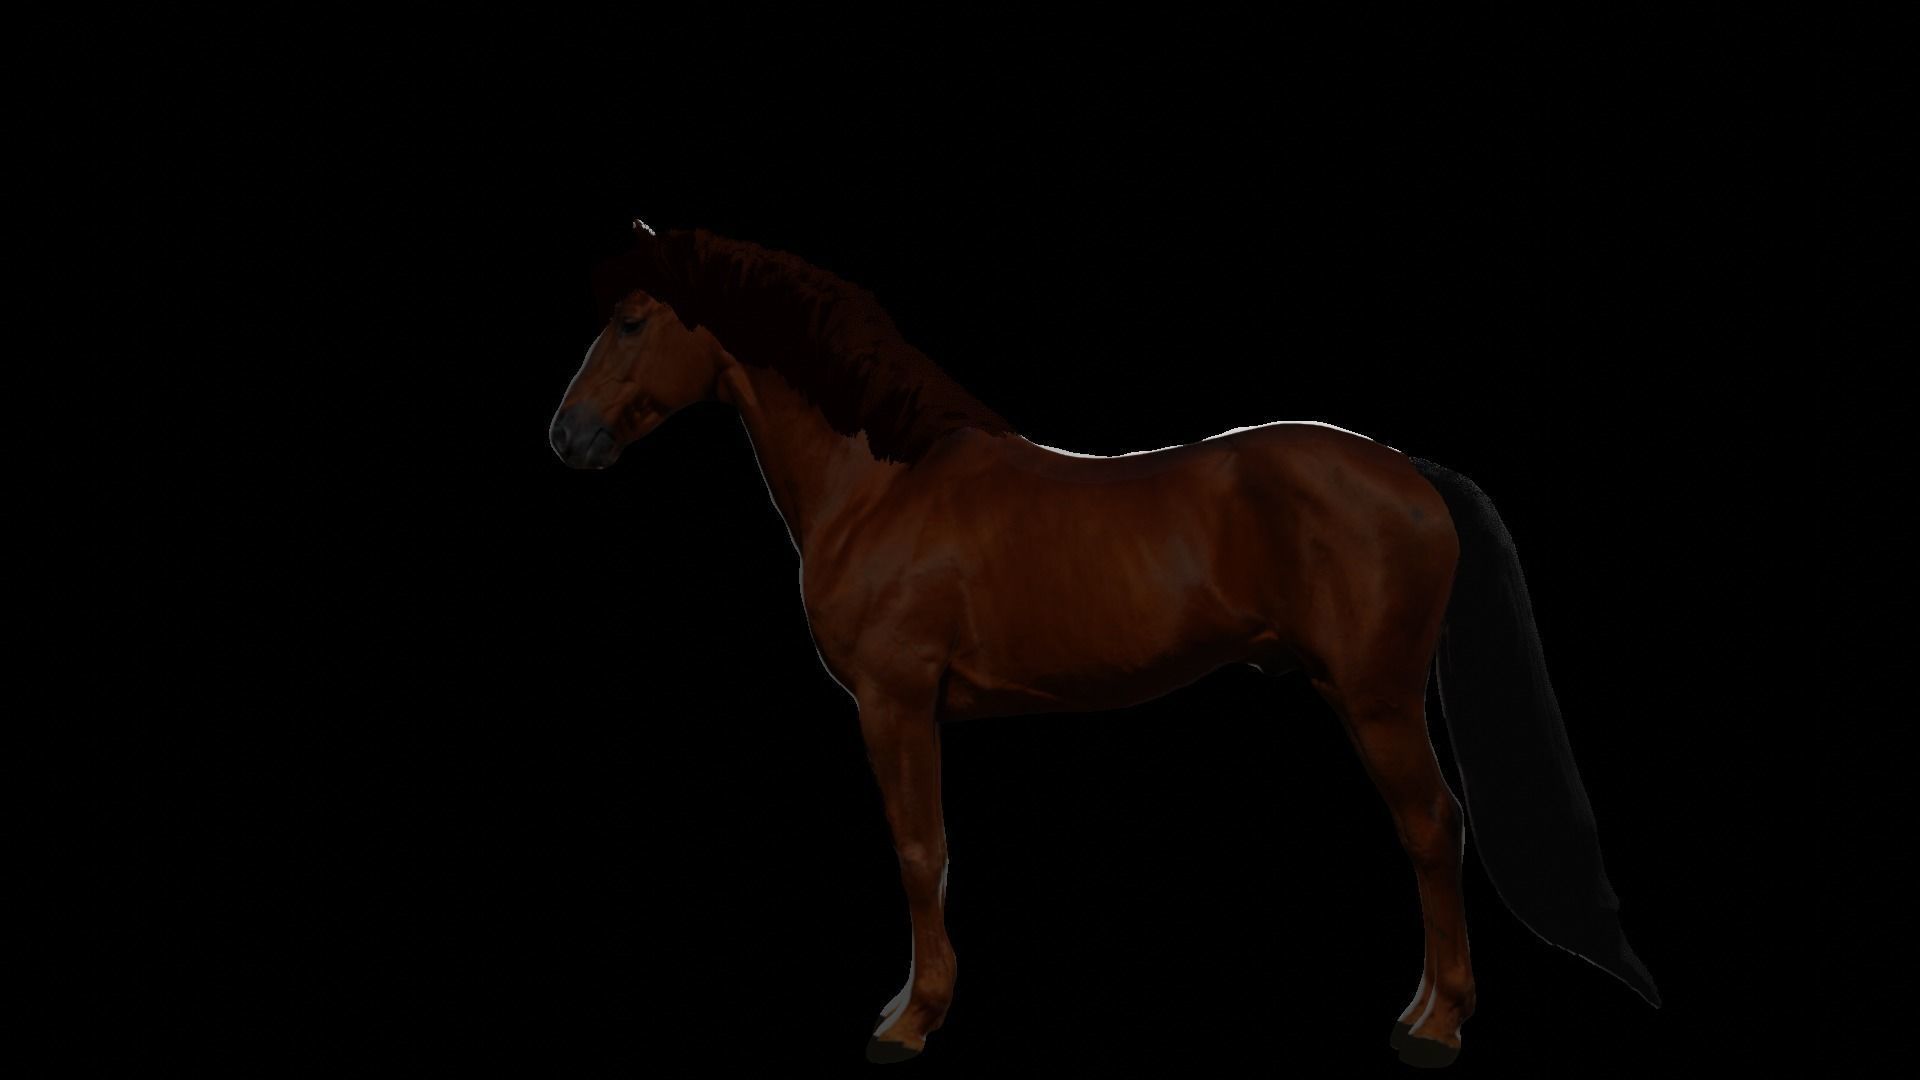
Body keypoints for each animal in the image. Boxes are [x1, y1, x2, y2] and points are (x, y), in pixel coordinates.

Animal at [549, 223, 1661, 1067]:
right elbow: (927, 853)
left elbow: (919, 851)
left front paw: (912, 1020)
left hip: (1378, 700)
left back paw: (1435, 1027)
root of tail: (1409, 472)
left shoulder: (894, 704)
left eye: (632, 320)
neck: (884, 487)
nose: (566, 437)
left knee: (1432, 827)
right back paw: (1426, 1008)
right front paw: (909, 1006)